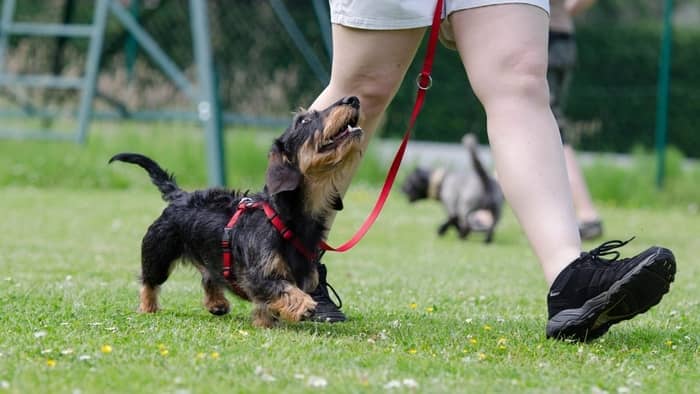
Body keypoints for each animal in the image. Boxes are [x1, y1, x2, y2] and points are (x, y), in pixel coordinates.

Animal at [109, 97, 364, 328]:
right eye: (304, 120)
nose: (352, 99)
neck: (285, 216)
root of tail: (180, 195)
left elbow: (268, 302)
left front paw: (265, 322)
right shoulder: (257, 275)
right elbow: (282, 289)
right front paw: (304, 305)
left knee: (209, 276)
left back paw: (217, 303)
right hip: (158, 253)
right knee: (149, 282)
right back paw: (147, 307)